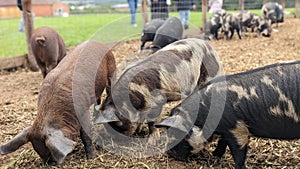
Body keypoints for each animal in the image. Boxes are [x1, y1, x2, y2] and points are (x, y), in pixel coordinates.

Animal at [94, 38, 223, 137]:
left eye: (116, 125)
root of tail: (209, 46)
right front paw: (140, 131)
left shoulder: (157, 101)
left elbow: (152, 121)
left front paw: (152, 139)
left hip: (210, 74)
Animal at [156, 60, 300, 169]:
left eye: (176, 133)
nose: (167, 153)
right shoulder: (225, 130)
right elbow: (222, 141)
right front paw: (215, 155)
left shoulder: (237, 129)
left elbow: (238, 153)